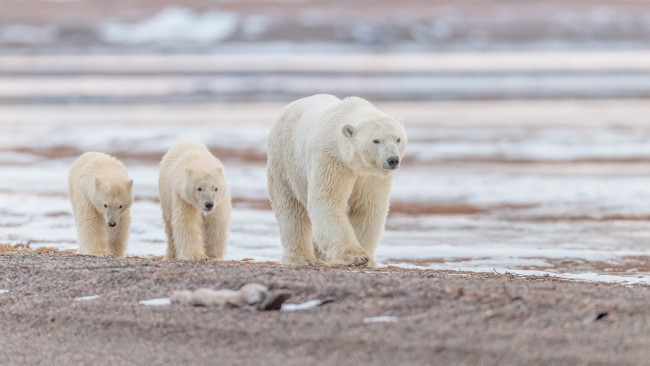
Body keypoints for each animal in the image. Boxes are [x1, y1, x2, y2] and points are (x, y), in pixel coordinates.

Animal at [264, 93, 404, 266]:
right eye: (376, 140)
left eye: (398, 139)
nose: (393, 160)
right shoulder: (332, 159)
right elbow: (328, 200)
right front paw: (356, 257)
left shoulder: (371, 176)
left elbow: (367, 208)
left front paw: (368, 259)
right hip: (284, 164)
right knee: (291, 210)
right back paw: (302, 258)